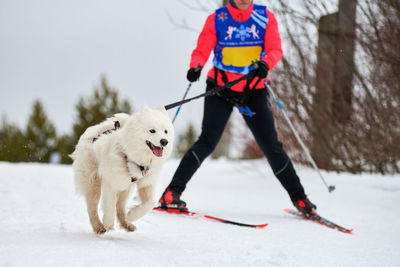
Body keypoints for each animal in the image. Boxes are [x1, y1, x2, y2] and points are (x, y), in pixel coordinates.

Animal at [71, 104, 174, 234]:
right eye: (152, 131)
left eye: (166, 131)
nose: (164, 141)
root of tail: (95, 129)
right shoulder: (111, 181)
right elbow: (109, 205)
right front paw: (108, 224)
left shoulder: (146, 182)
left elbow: (149, 203)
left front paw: (131, 215)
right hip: (93, 181)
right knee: (92, 206)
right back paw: (99, 227)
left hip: (127, 187)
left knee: (120, 206)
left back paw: (127, 223)